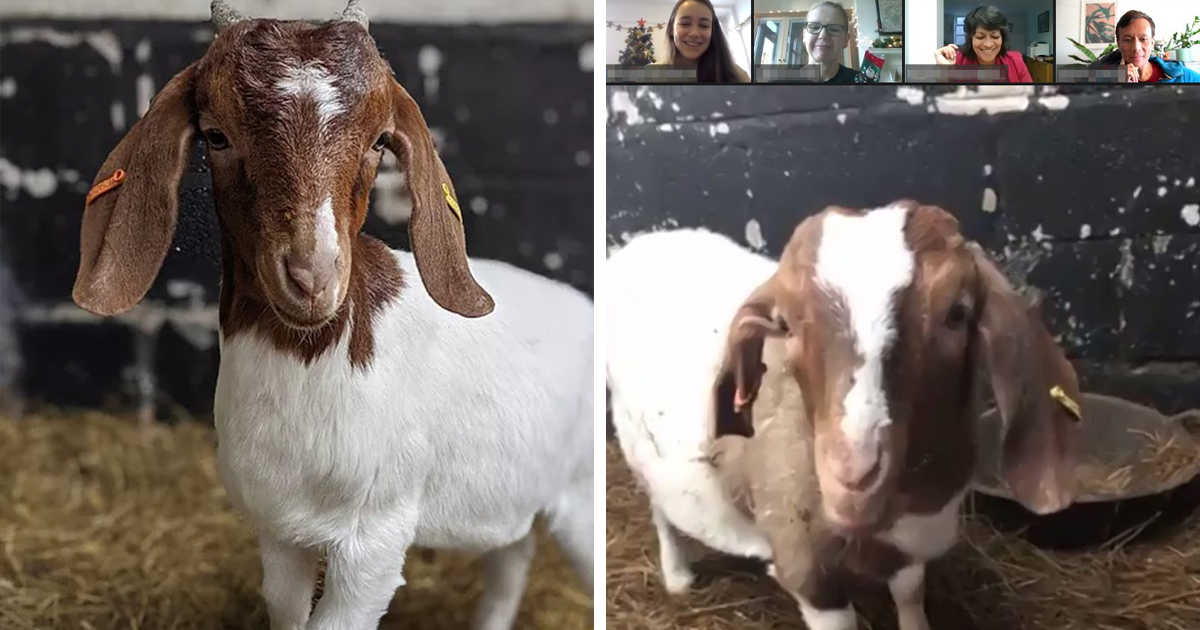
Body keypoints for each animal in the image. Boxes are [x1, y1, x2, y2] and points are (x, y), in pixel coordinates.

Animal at [71, 3, 593, 629]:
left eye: (378, 142)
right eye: (217, 135)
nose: (312, 276)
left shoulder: (375, 539)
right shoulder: (279, 530)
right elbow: (286, 607)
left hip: (582, 489)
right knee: (513, 554)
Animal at [607, 202, 1082, 630]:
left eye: (957, 313)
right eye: (786, 325)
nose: (852, 478)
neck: (916, 498)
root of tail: (640, 243)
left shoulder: (911, 550)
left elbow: (909, 596)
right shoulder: (808, 569)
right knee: (659, 509)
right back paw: (677, 576)